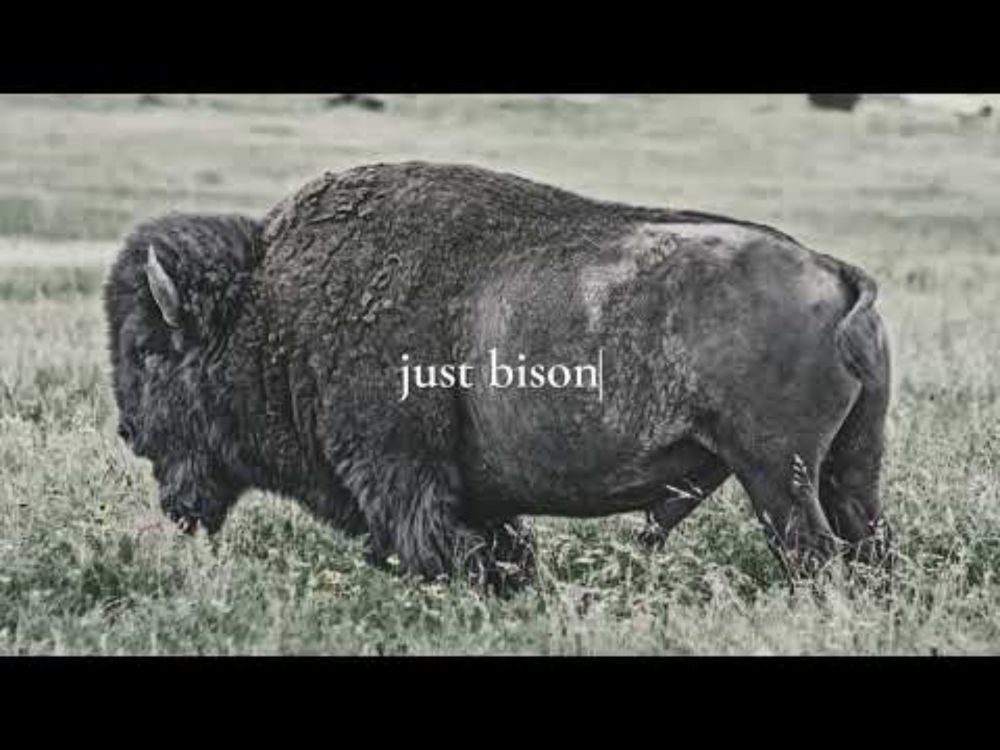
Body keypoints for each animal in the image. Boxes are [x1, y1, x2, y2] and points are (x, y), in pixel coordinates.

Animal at [105, 162, 892, 587]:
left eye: (147, 349)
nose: (130, 432)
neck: (268, 304)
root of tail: (833, 269)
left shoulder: (403, 475)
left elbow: (435, 543)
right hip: (847, 470)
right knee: (865, 548)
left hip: (775, 475)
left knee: (814, 555)